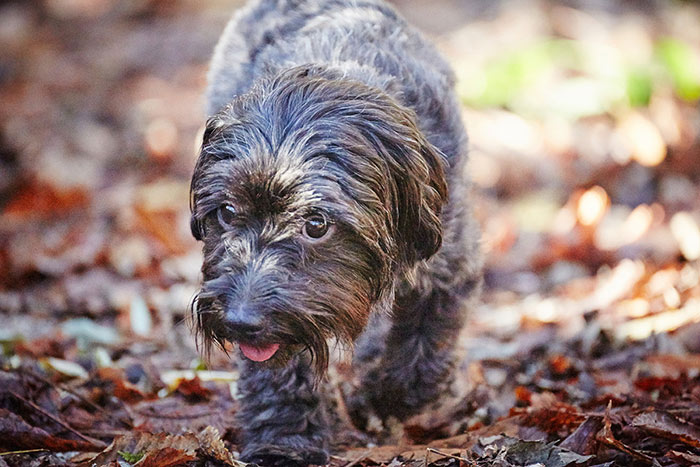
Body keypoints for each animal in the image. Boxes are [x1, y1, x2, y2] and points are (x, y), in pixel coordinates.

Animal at [187, 1, 482, 466]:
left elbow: (423, 353)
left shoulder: (449, 263)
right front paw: (285, 442)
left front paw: (384, 400)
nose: (239, 321)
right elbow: (282, 369)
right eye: (227, 212)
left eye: (317, 224)